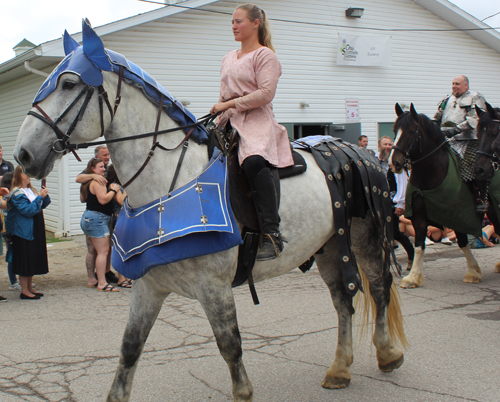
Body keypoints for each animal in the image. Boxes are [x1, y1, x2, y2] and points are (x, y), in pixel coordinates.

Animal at [11, 21, 406, 402]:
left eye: (68, 83)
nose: (23, 155)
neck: (167, 184)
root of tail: (360, 153)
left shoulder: (213, 287)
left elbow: (230, 347)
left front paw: (243, 391)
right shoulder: (148, 287)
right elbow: (130, 348)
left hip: (367, 240)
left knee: (378, 287)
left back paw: (387, 354)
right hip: (329, 246)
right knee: (343, 300)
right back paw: (340, 369)